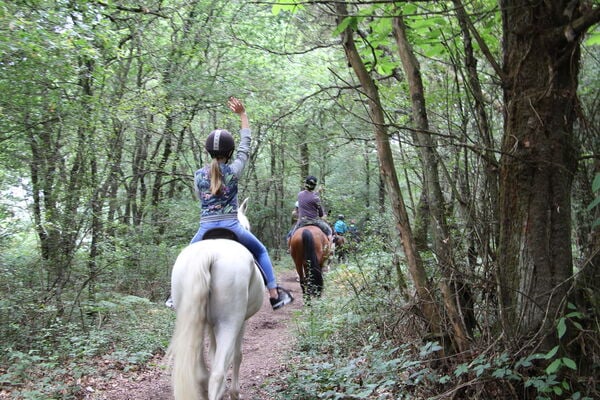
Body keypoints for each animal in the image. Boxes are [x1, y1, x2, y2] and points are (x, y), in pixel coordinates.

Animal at [168, 199, 264, 400]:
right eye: (248, 226)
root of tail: (208, 254)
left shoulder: (211, 324)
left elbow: (212, 352)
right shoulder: (241, 322)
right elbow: (237, 355)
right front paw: (234, 393)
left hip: (193, 320)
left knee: (201, 373)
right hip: (229, 322)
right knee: (217, 374)